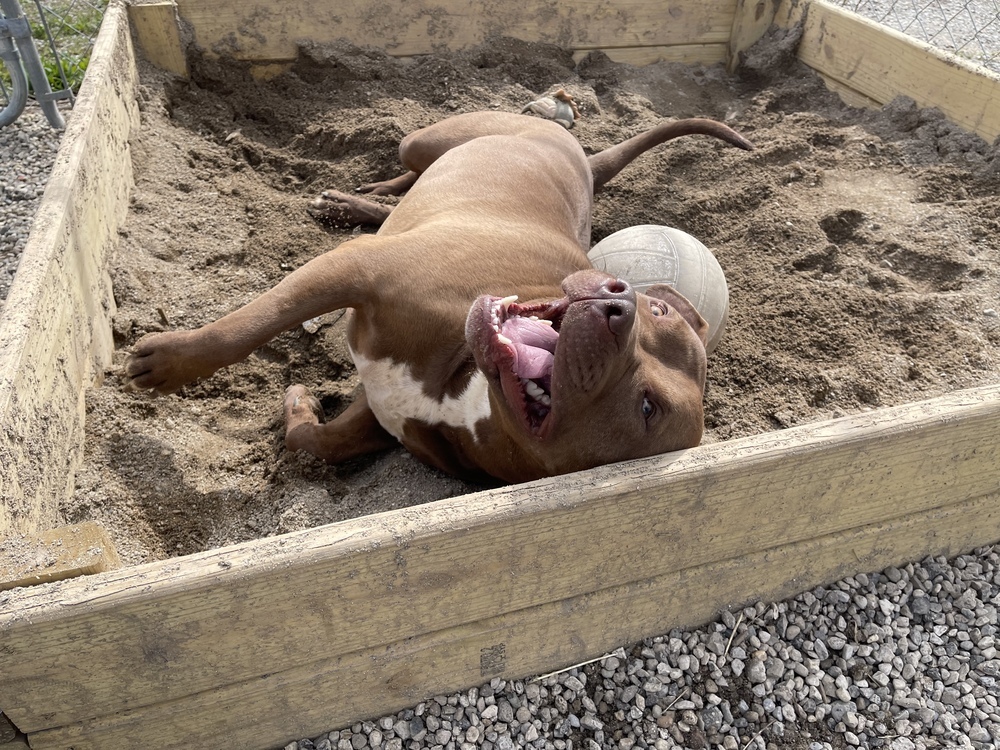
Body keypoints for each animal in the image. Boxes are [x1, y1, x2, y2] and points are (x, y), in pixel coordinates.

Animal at [125, 107, 752, 482]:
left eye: (648, 408)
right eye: (660, 309)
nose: (618, 303)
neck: (465, 393)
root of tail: (582, 154)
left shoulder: (379, 408)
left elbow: (316, 441)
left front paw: (299, 406)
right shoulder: (356, 268)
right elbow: (252, 322)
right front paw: (174, 360)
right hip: (433, 139)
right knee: (406, 172)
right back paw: (353, 198)